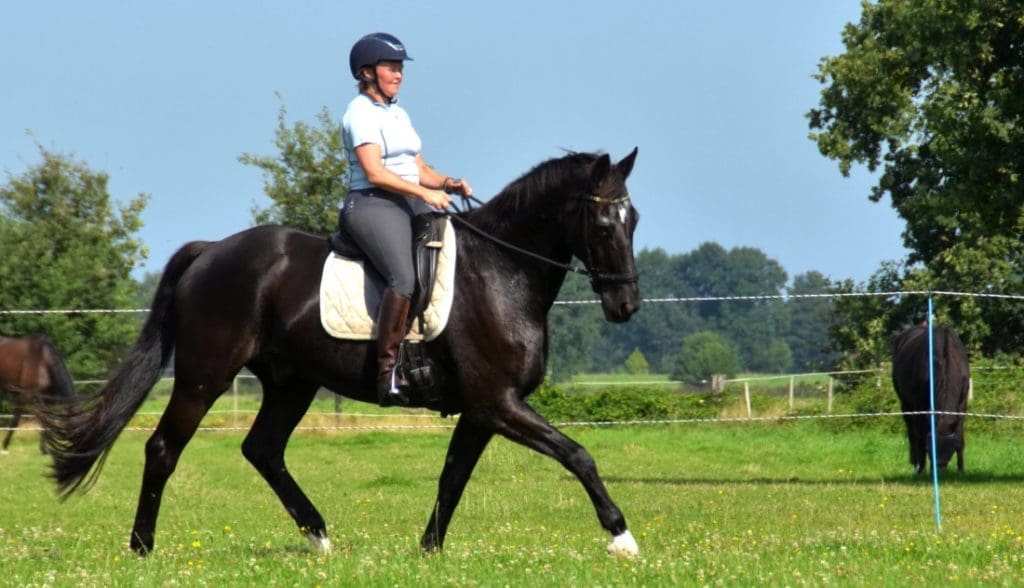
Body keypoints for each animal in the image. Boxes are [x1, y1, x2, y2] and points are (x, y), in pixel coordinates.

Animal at [41, 147, 647, 557]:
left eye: (633, 220)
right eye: (602, 223)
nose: (627, 304)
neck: (501, 272)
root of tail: (211, 251)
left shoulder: (482, 411)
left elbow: (452, 477)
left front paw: (428, 549)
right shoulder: (498, 403)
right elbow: (578, 454)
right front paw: (622, 536)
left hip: (291, 382)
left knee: (263, 450)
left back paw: (319, 537)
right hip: (204, 376)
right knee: (164, 447)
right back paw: (142, 546)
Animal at [892, 325, 970, 477]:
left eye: (950, 450)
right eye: (930, 449)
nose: (939, 468)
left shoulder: (962, 405)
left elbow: (959, 437)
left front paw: (961, 470)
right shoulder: (919, 406)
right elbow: (920, 437)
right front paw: (920, 468)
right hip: (906, 404)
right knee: (912, 434)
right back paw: (915, 464)